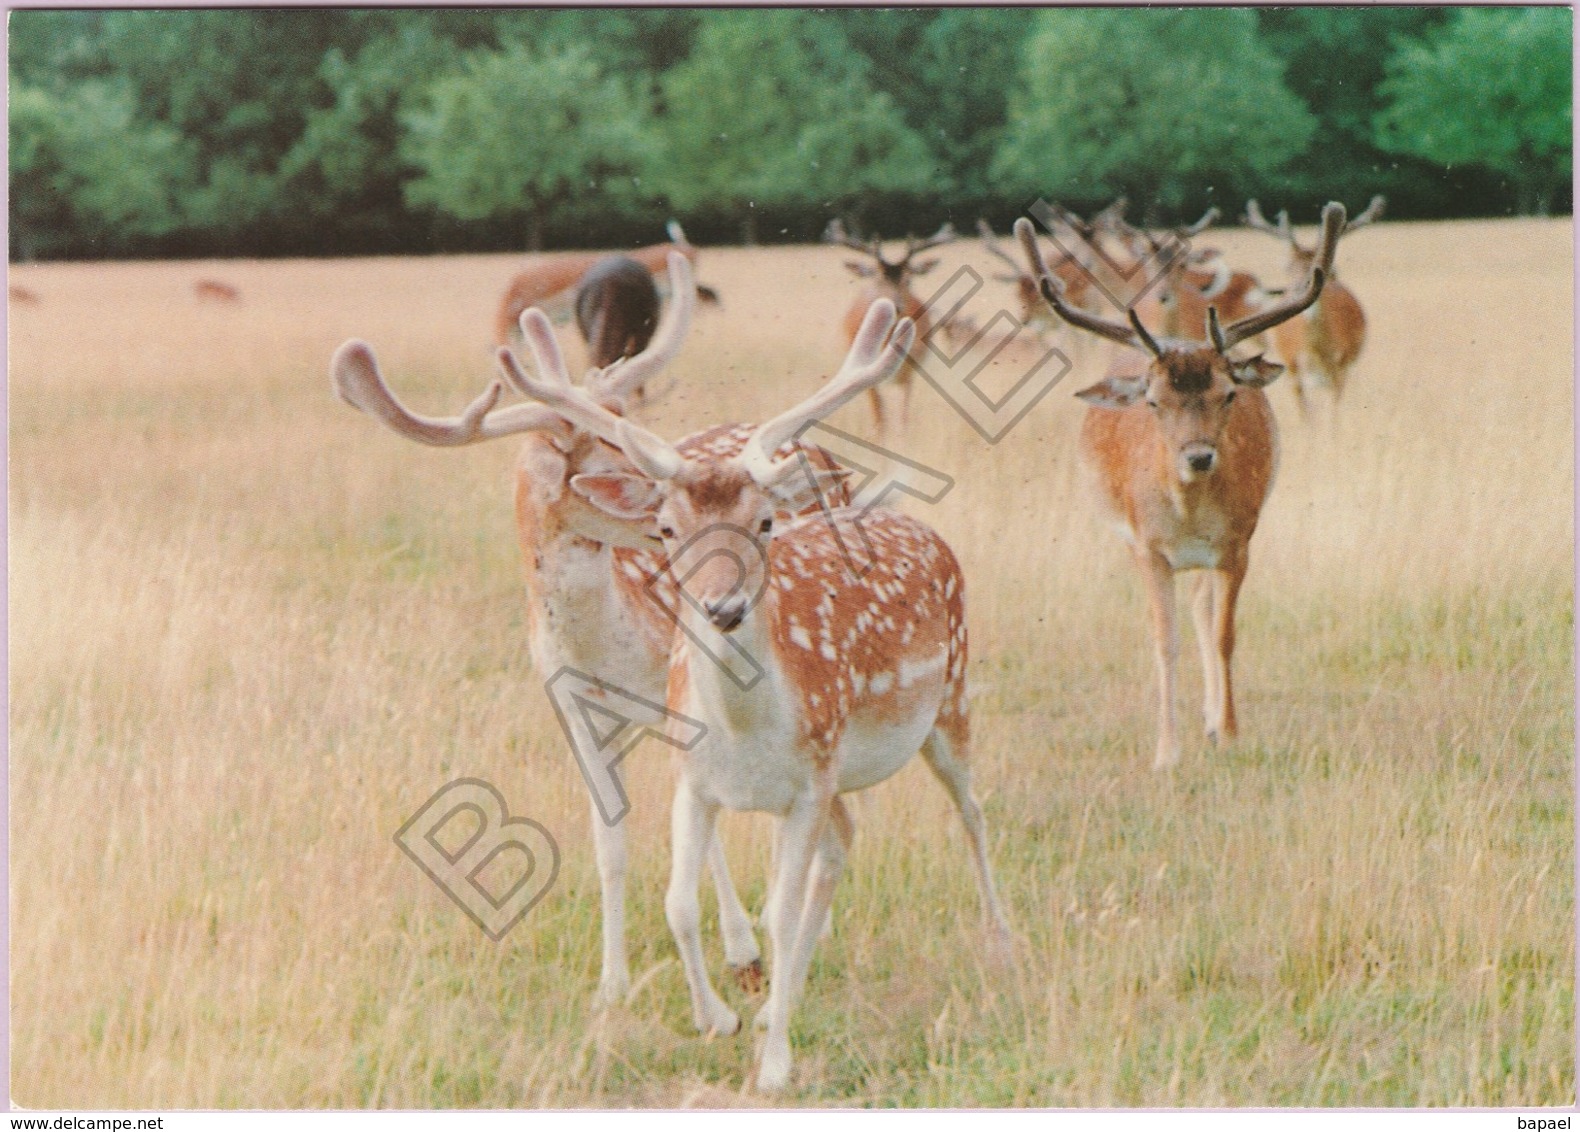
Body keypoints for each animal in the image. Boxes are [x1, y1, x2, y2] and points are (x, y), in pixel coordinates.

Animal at [511, 295, 1017, 1094]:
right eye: (666, 528)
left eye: (765, 522)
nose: (721, 608)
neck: (747, 735)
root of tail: (911, 521)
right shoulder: (698, 782)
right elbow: (681, 904)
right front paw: (721, 1017)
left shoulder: (808, 781)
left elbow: (777, 910)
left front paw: (774, 1063)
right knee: (845, 846)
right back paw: (795, 984)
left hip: (952, 701)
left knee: (972, 810)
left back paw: (1000, 943)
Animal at [821, 216, 954, 442]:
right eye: (877, 278)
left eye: (909, 280)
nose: (894, 306)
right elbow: (879, 415)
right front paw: (879, 439)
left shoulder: (911, 366)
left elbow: (903, 413)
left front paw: (902, 439)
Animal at [1011, 203, 1346, 768]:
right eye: (1153, 401)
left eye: (1228, 394)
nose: (1199, 455)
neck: (1187, 516)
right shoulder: (1147, 548)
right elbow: (1164, 641)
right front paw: (1166, 752)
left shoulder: (1238, 543)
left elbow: (1224, 634)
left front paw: (1228, 733)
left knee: (1203, 611)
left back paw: (1211, 721)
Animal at [1245, 194, 1384, 414]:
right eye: (1288, 268)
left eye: (1332, 269)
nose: (1301, 287)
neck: (1314, 358)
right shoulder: (1293, 370)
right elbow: (1307, 415)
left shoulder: (1341, 368)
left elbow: (1334, 414)